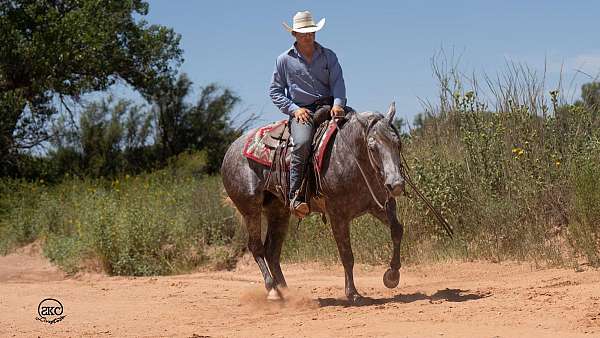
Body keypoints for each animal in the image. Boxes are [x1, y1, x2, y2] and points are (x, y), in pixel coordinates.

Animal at [218, 103, 406, 304]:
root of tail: (230, 151)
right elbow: (347, 254)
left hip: (278, 211)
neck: (351, 157)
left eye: (398, 143)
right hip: (250, 209)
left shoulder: (380, 205)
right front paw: (353, 293)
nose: (395, 184)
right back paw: (273, 291)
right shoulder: (337, 215)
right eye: (372, 147)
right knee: (257, 248)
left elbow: (397, 230)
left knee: (272, 251)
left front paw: (392, 275)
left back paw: (286, 292)